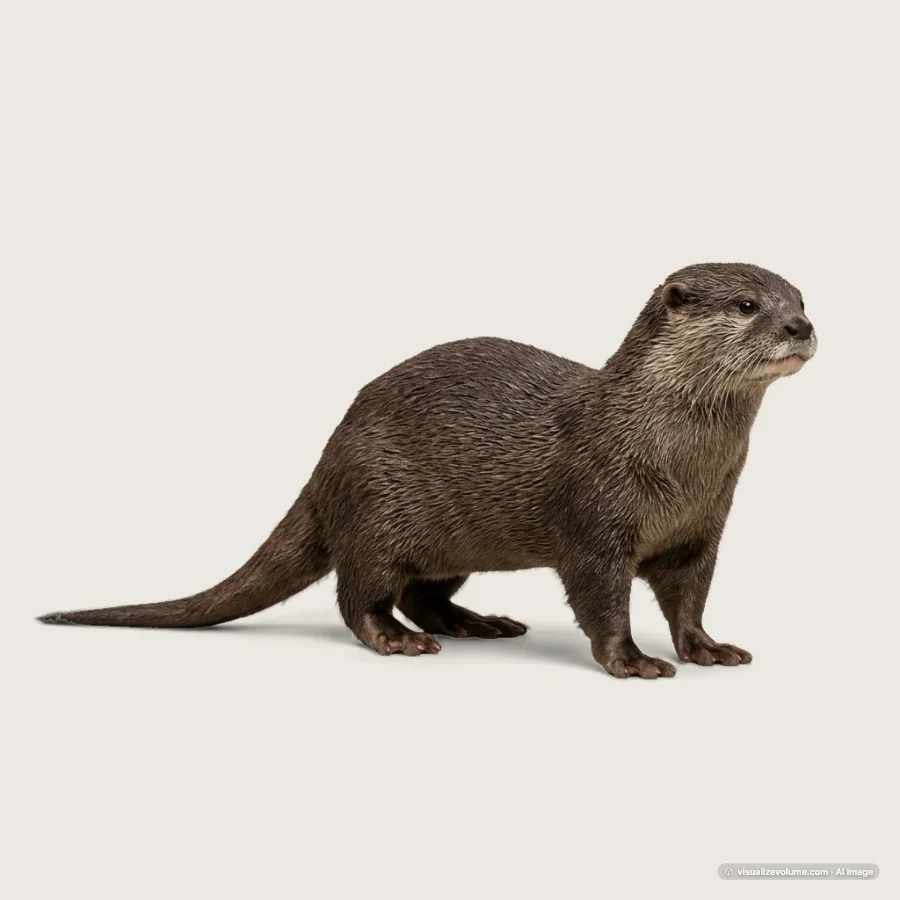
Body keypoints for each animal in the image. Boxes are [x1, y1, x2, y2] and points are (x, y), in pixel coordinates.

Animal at [39, 263, 816, 678]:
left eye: (802, 299)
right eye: (748, 305)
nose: (800, 327)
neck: (671, 461)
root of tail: (327, 459)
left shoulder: (700, 530)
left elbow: (690, 598)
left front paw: (708, 648)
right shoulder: (595, 522)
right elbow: (601, 599)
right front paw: (631, 660)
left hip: (451, 540)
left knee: (423, 591)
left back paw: (480, 622)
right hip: (378, 507)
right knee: (361, 594)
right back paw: (401, 641)